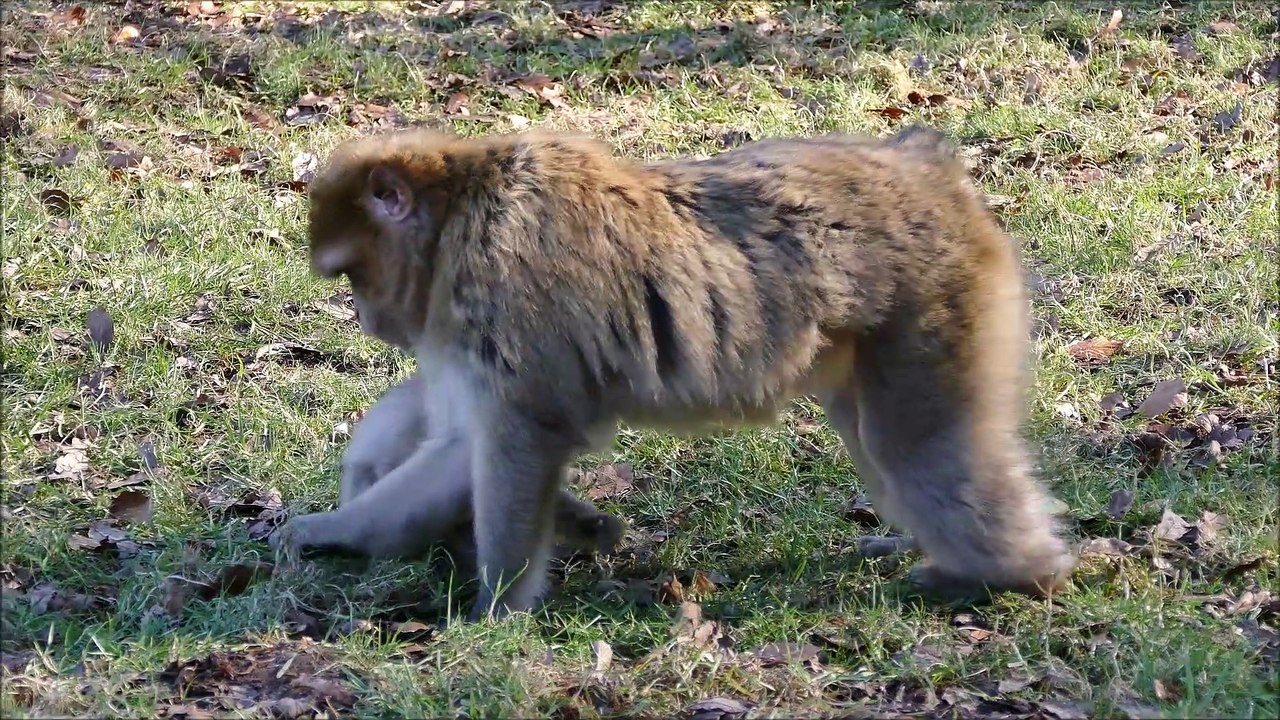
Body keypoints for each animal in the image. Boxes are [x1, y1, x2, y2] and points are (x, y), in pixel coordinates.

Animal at [278, 123, 1078, 620]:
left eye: (351, 275)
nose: (368, 320)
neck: (460, 218)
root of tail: (925, 168)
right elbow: (458, 448)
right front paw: (332, 531)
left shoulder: (505, 296)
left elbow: (520, 438)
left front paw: (495, 610)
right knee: (879, 439)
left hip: (939, 304)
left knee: (920, 447)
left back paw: (1013, 573)